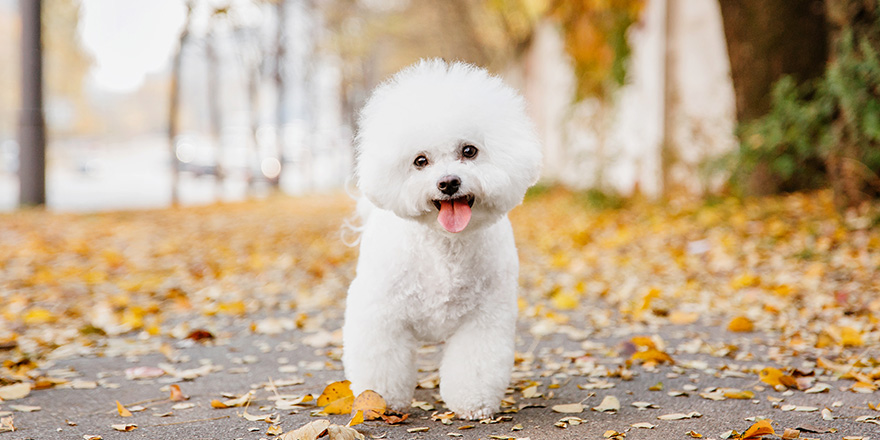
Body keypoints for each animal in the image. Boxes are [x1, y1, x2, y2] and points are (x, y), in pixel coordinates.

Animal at [340, 58, 540, 420]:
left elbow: (475, 364)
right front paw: (380, 400)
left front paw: (472, 403)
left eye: (469, 151)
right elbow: (381, 361)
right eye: (420, 161)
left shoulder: (485, 318)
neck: (446, 247)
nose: (448, 183)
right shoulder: (381, 314)